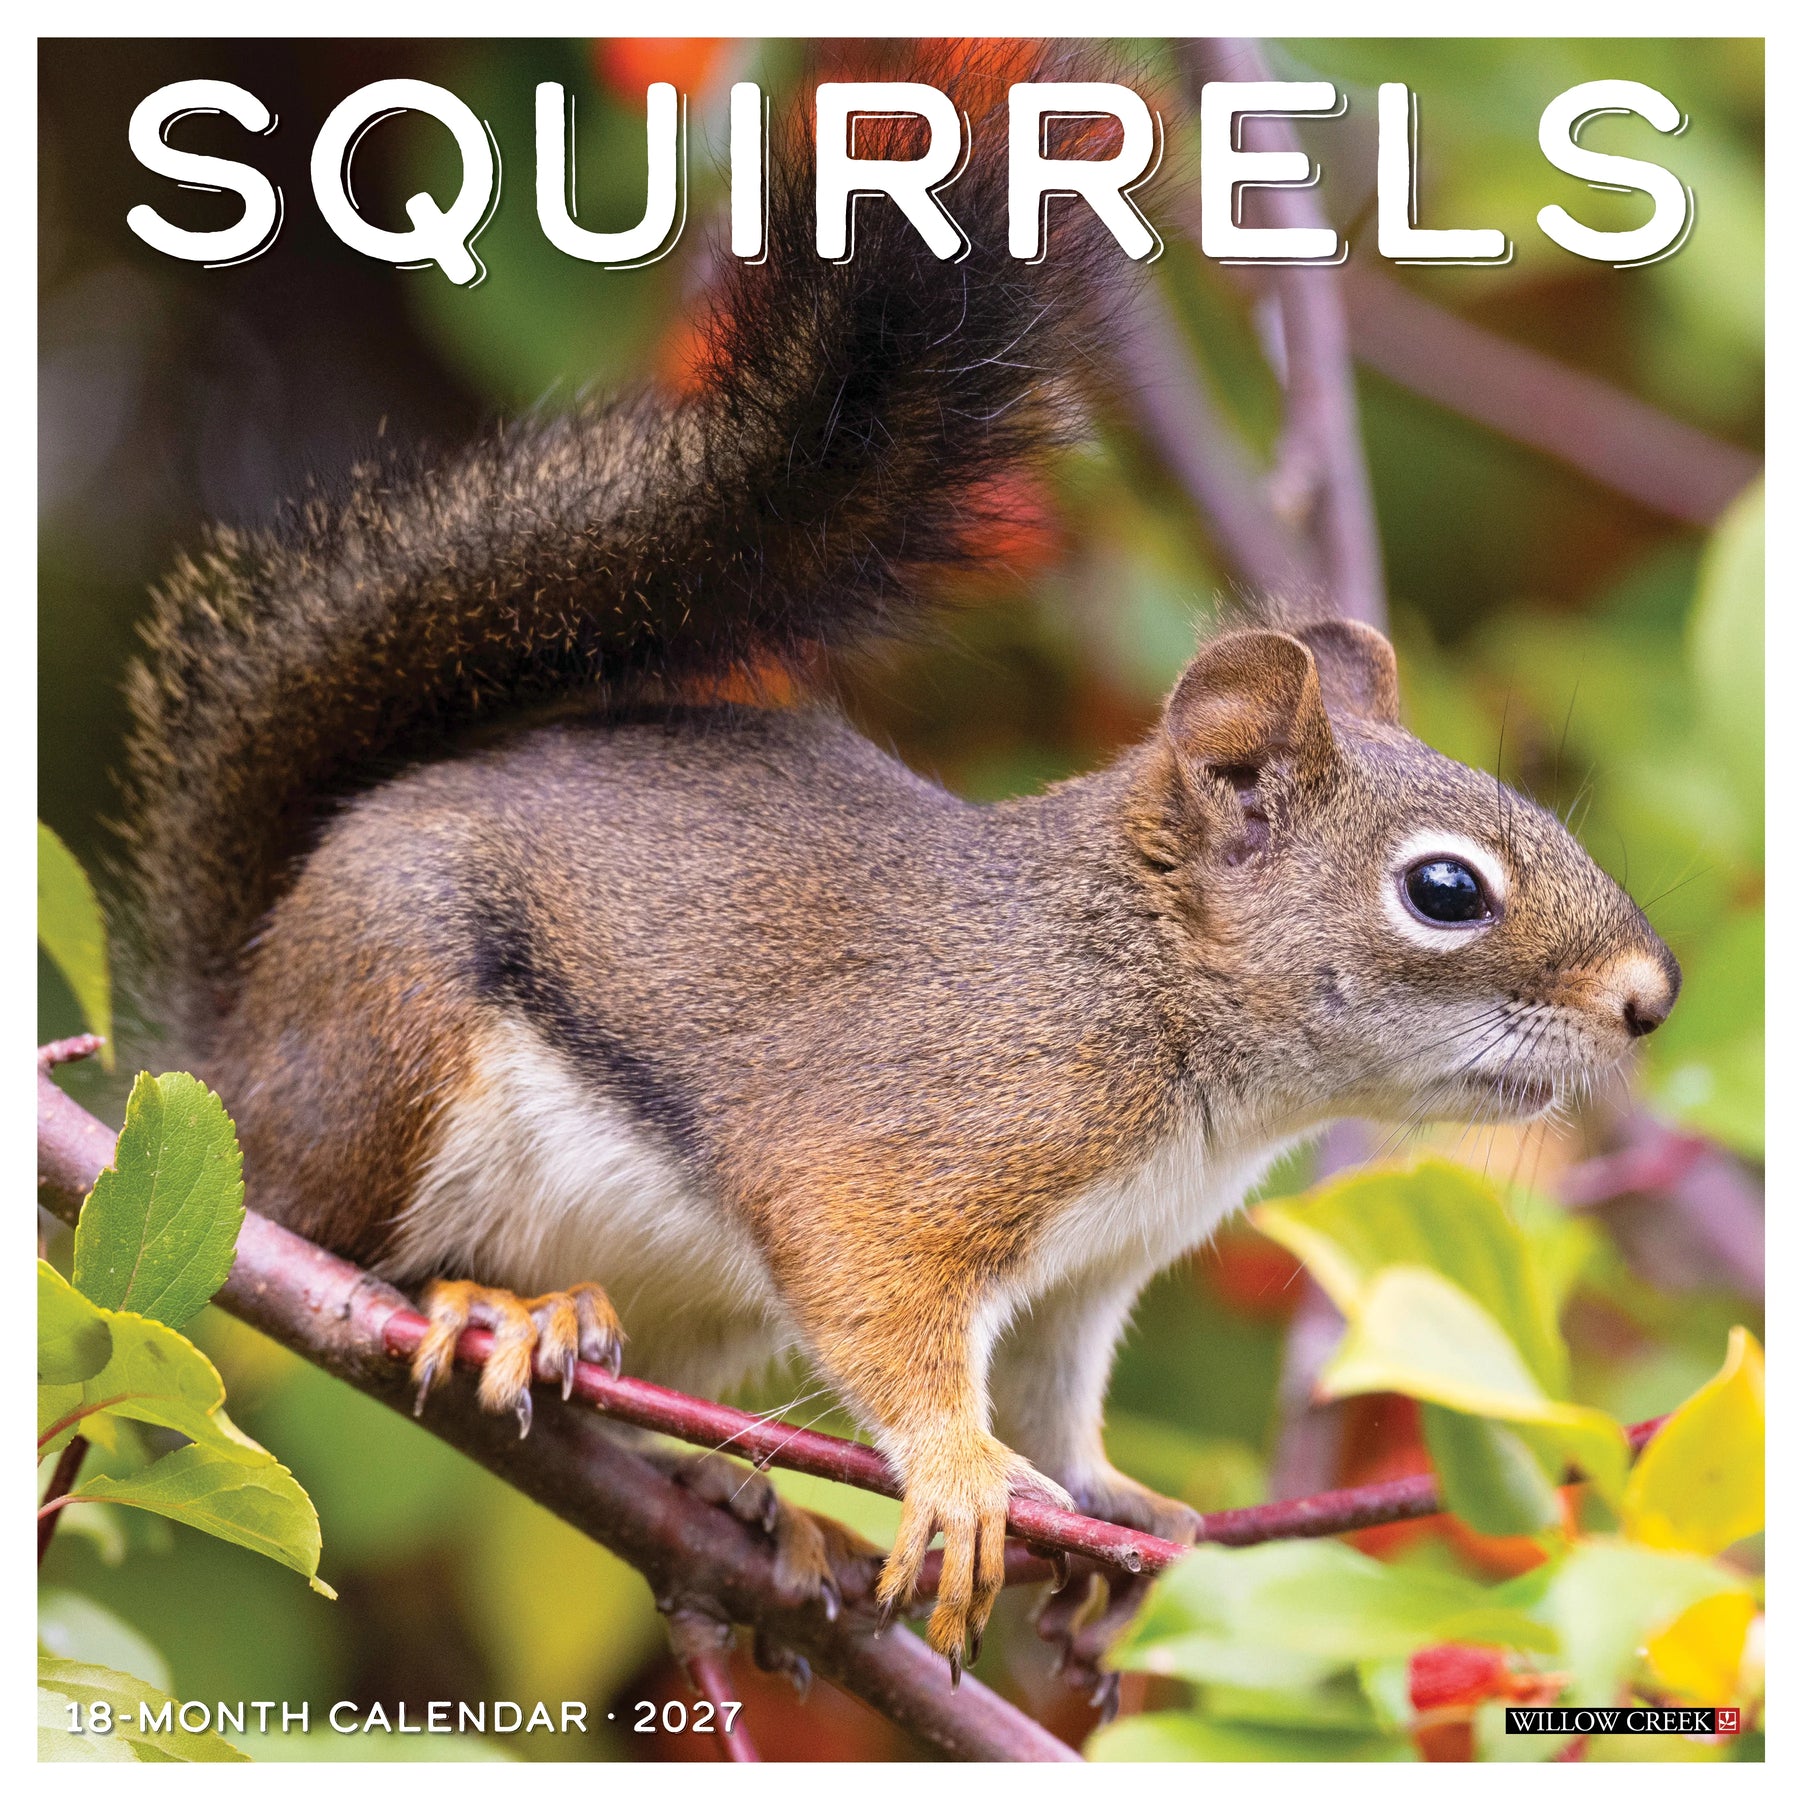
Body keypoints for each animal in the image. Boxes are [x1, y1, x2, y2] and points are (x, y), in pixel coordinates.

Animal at [119, 52, 1679, 1680]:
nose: (1651, 998)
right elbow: (889, 1309)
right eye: (1445, 891)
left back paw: (722, 1491)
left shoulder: (1084, 1277)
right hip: (394, 1046)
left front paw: (1118, 1511)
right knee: (338, 1236)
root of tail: (235, 1037)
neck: (1160, 1006)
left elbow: (1056, 1396)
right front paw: (962, 1476)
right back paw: (500, 1307)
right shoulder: (909, 1153)